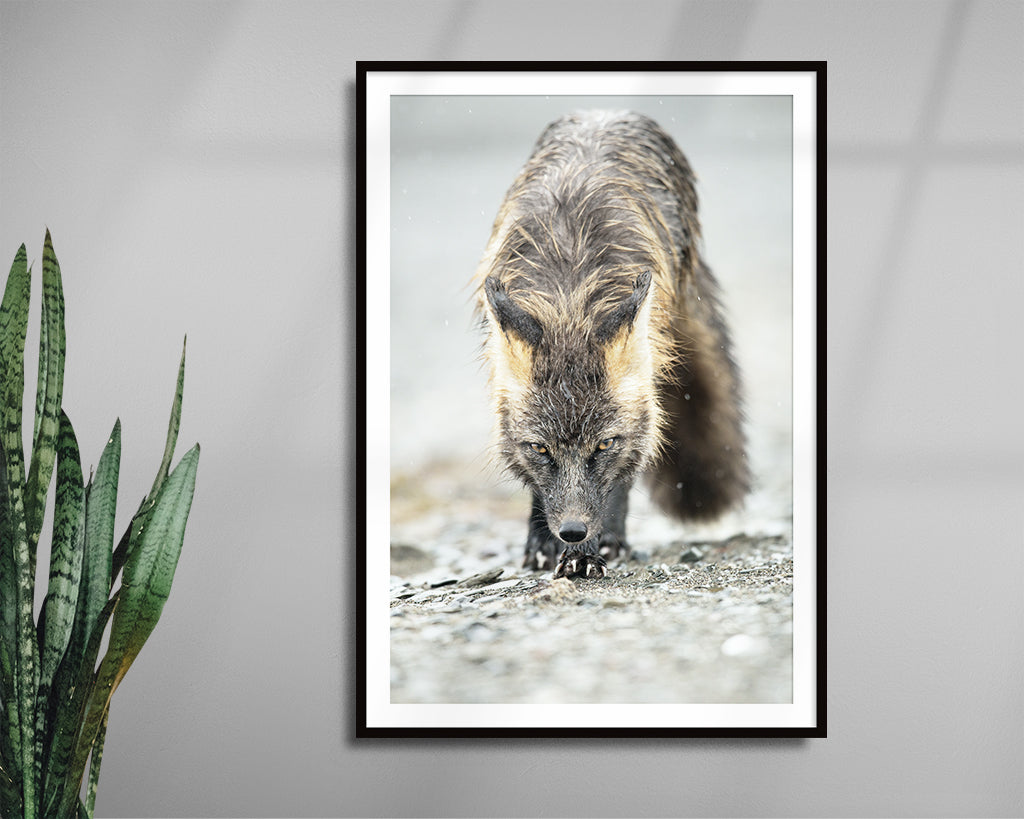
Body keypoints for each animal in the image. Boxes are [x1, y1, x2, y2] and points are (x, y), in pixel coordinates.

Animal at [474, 110, 749, 580]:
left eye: (603, 445)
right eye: (541, 448)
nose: (572, 532)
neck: (570, 291)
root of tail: (603, 111)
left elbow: (616, 481)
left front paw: (589, 552)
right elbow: (539, 490)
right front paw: (544, 542)